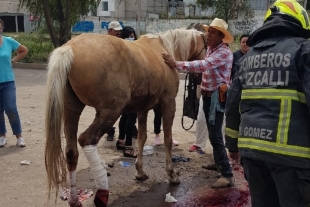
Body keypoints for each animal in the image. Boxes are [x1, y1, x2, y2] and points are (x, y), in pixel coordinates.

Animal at [44, 27, 207, 207]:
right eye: (207, 45)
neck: (165, 49)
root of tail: (70, 48)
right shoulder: (168, 104)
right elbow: (167, 140)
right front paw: (172, 174)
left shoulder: (143, 109)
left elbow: (142, 137)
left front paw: (140, 171)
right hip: (110, 112)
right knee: (87, 140)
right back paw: (102, 192)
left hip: (72, 109)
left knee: (71, 152)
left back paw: (74, 200)